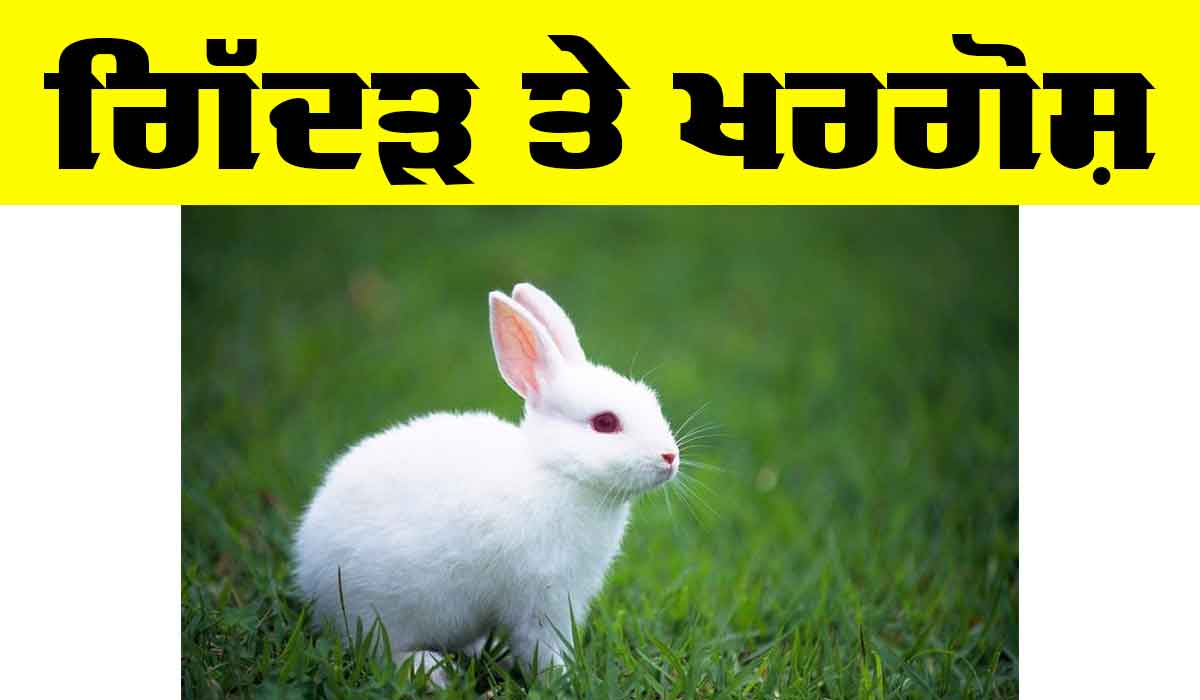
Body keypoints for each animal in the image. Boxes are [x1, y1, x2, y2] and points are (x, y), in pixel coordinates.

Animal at [293, 282, 680, 685]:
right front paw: (562, 681)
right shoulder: (541, 600)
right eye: (605, 423)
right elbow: (542, 649)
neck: (556, 471)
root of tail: (309, 573)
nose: (670, 456)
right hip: (381, 610)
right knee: (381, 651)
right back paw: (432, 671)